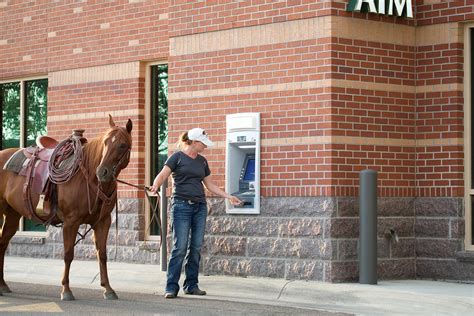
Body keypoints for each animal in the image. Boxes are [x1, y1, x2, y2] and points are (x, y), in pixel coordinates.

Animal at [0, 115, 131, 300]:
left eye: (122, 145)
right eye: (105, 142)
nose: (102, 172)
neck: (87, 177)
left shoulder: (103, 222)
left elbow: (102, 254)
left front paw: (108, 289)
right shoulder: (70, 222)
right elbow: (68, 254)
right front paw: (66, 290)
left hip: (12, 214)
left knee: (2, 244)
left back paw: (3, 285)